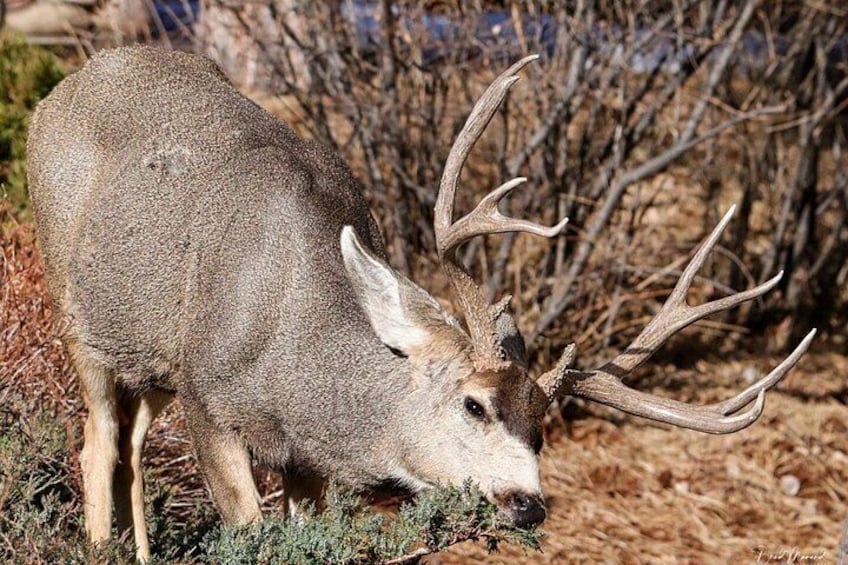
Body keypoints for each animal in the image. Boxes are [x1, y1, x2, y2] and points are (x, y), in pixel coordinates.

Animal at [26, 45, 814, 561]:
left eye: (544, 427)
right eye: (473, 404)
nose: (528, 502)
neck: (294, 355)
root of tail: (64, 85)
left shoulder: (305, 456)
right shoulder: (207, 397)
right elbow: (249, 533)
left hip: (148, 354)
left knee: (131, 444)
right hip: (72, 306)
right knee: (97, 440)